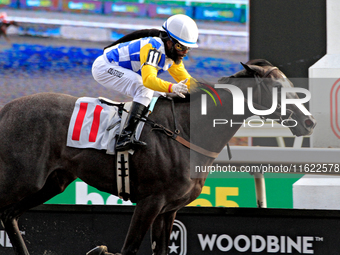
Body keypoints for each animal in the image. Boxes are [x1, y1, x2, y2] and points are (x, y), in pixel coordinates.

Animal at [0, 58, 316, 254]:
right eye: (278, 88)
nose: (309, 122)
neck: (186, 131)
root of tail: (6, 109)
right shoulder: (150, 202)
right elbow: (126, 250)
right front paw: (98, 249)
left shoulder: (169, 209)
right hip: (21, 179)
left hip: (52, 182)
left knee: (9, 215)